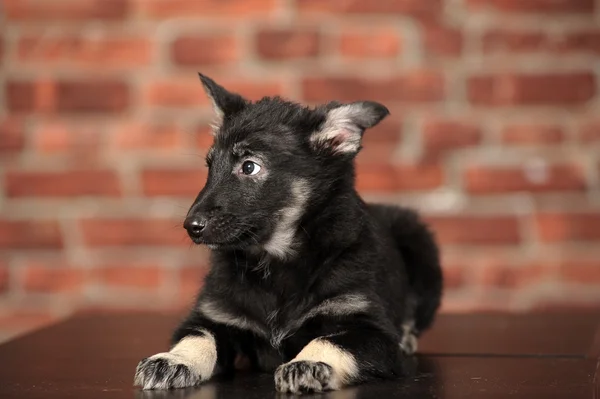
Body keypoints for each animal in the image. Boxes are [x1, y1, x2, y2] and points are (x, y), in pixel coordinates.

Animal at [136, 73, 446, 396]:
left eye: (249, 166)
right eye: (210, 166)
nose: (191, 226)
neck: (275, 263)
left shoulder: (372, 330)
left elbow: (330, 340)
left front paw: (309, 363)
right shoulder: (215, 315)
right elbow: (196, 336)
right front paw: (173, 360)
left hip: (420, 244)